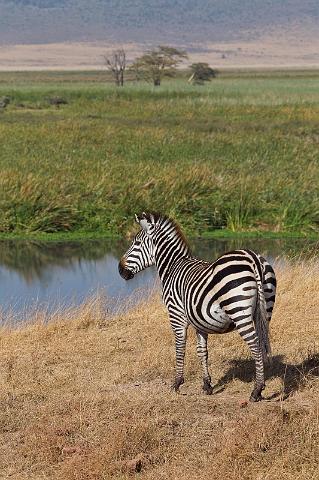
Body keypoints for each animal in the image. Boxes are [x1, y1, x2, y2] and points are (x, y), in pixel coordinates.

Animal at [119, 212, 278, 404]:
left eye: (136, 243)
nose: (120, 270)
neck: (172, 267)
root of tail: (252, 258)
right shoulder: (199, 321)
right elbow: (202, 351)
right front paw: (207, 385)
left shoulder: (176, 314)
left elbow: (180, 347)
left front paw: (177, 383)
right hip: (265, 308)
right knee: (262, 341)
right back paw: (260, 387)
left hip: (239, 310)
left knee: (255, 345)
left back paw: (256, 390)